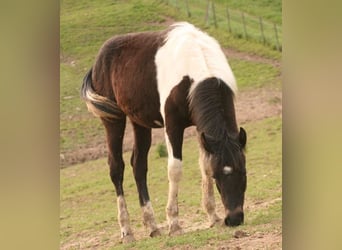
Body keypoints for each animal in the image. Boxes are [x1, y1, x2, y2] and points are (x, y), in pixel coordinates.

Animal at [81, 21, 247, 242]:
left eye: (244, 172)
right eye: (218, 176)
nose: (235, 219)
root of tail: (99, 60)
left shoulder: (202, 129)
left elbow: (204, 163)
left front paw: (213, 216)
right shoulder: (172, 126)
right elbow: (175, 169)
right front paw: (174, 224)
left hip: (139, 122)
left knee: (138, 165)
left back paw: (152, 226)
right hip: (113, 119)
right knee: (116, 167)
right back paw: (127, 231)